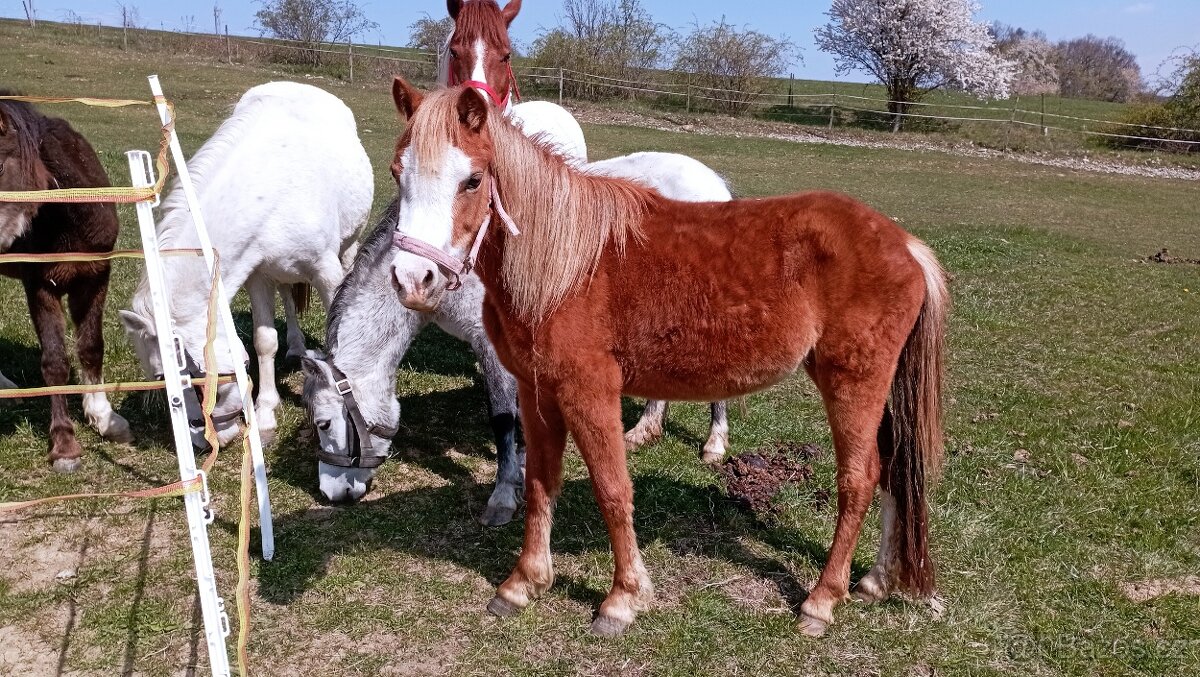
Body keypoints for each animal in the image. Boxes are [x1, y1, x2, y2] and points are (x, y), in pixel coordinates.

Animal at [0, 94, 132, 472]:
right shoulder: (41, 286)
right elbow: (55, 361)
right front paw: (64, 445)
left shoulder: (95, 278)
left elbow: (91, 347)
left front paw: (105, 418)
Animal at [118, 81, 372, 448]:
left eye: (175, 375)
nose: (202, 441)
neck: (271, 190)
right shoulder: (258, 275)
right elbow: (265, 341)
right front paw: (265, 414)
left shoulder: (326, 273)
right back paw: (296, 347)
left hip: (349, 246)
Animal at [304, 149, 734, 521]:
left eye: (323, 424)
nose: (331, 494)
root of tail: (714, 183)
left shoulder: (489, 343)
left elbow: (502, 417)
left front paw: (503, 495)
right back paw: (645, 429)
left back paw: (714, 442)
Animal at [388, 82, 949, 638]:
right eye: (398, 172)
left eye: (472, 180)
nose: (413, 280)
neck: (565, 268)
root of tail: (905, 245)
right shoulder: (536, 391)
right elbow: (541, 484)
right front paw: (523, 583)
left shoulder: (589, 392)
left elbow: (613, 490)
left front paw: (622, 599)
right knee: (896, 467)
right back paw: (876, 580)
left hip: (852, 383)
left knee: (859, 478)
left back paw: (822, 599)